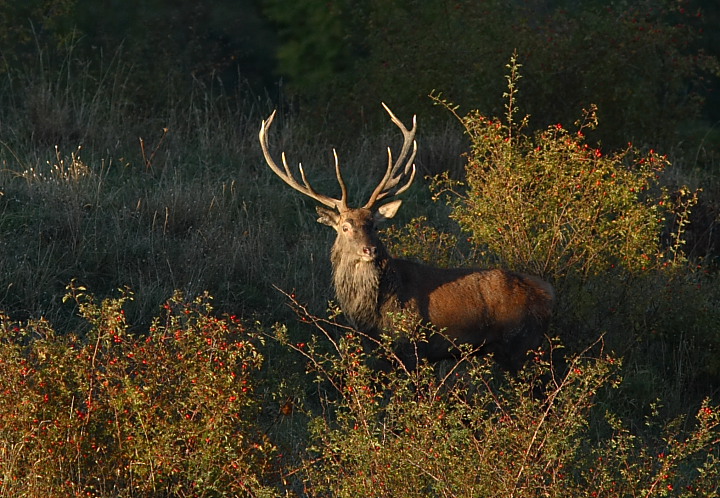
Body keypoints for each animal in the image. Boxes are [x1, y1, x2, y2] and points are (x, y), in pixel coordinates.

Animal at [260, 104, 556, 370]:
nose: (370, 250)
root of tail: (550, 294)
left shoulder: (413, 346)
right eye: (345, 227)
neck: (372, 315)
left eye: (373, 225)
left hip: (520, 346)